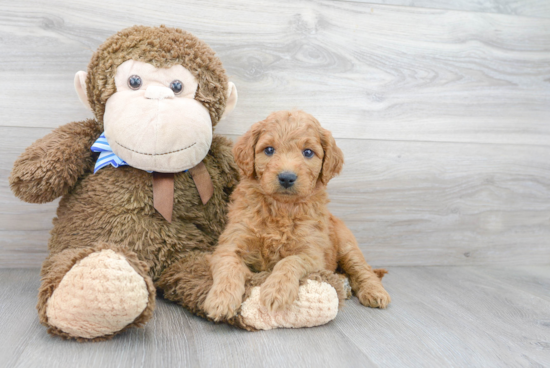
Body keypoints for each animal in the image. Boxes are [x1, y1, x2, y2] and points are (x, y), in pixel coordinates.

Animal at [204, 110, 392, 320]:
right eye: (269, 150)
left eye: (308, 152)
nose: (287, 177)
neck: (281, 209)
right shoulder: (231, 244)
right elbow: (229, 267)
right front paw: (221, 300)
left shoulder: (312, 254)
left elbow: (289, 261)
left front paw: (276, 291)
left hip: (347, 246)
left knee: (363, 269)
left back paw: (374, 292)